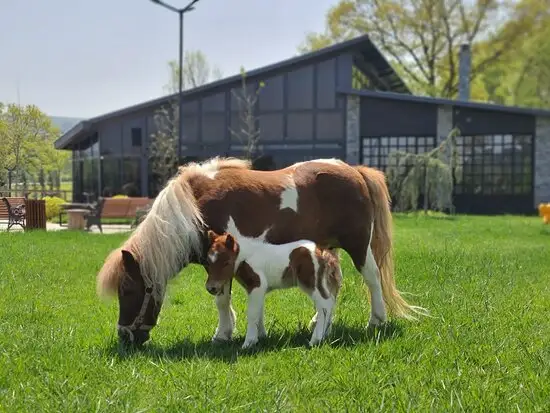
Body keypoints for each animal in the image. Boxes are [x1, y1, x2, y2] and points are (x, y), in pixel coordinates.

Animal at [205, 229, 342, 348]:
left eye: (226, 262)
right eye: (208, 262)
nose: (211, 288)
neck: (246, 256)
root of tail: (324, 252)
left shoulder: (257, 285)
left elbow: (252, 313)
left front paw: (248, 343)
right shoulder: (259, 290)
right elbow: (259, 311)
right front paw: (261, 337)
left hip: (311, 282)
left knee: (325, 305)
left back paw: (315, 340)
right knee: (330, 302)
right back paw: (324, 335)